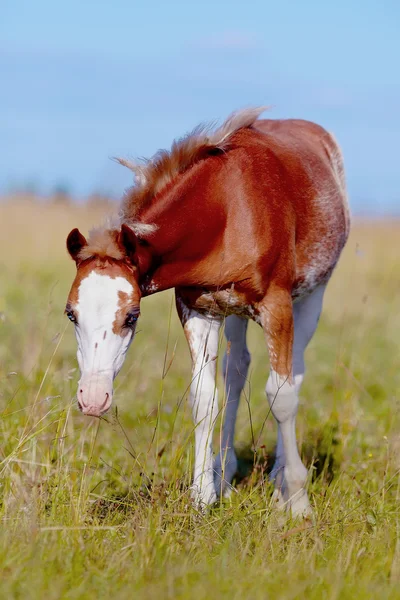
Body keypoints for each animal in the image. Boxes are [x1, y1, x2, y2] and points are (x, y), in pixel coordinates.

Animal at [65, 108, 350, 516]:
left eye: (132, 316)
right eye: (71, 314)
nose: (92, 399)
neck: (228, 211)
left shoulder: (277, 307)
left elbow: (281, 396)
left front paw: (297, 501)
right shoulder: (197, 309)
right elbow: (204, 398)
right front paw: (203, 495)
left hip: (311, 297)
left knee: (293, 374)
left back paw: (279, 475)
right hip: (234, 313)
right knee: (237, 370)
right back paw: (226, 471)